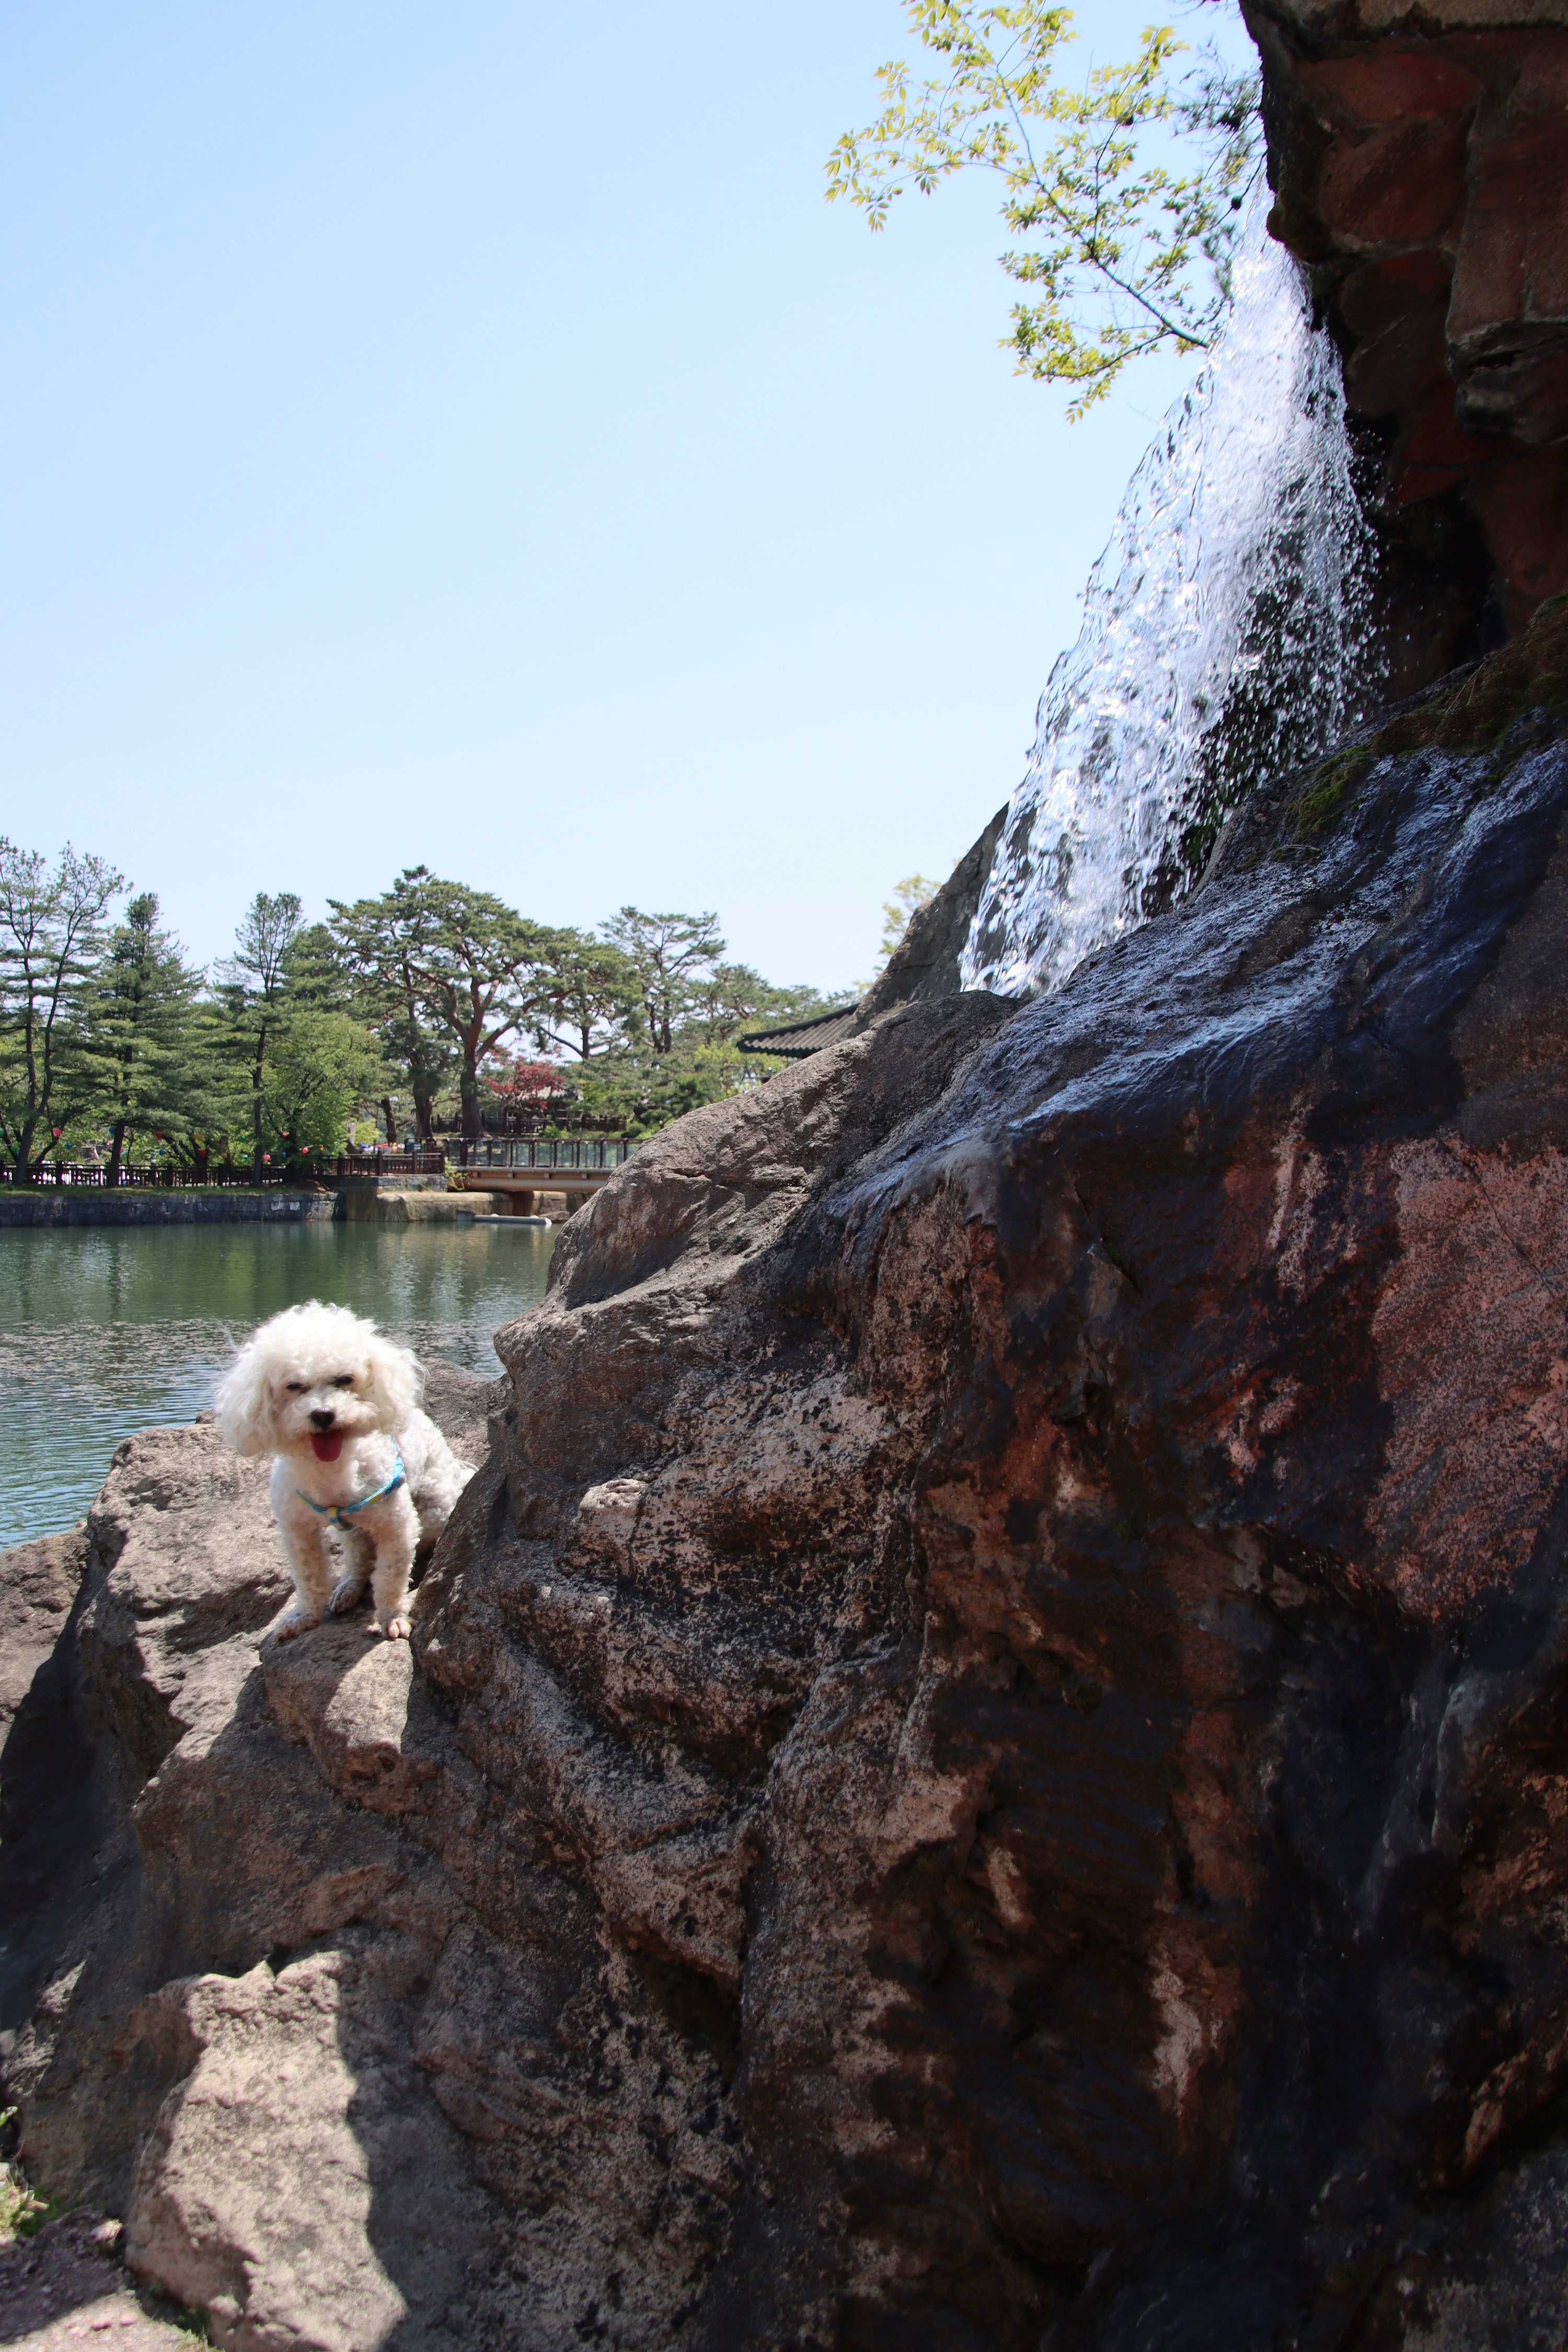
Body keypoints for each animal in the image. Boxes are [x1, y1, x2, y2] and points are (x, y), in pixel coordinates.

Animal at [215, 1300, 476, 1642]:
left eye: (344, 1379)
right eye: (294, 1386)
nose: (323, 1414)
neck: (333, 1471)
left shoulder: (398, 1526)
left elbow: (390, 1577)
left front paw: (393, 1617)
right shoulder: (298, 1531)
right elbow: (309, 1576)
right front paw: (303, 1616)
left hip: (434, 1510)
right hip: (351, 1528)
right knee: (358, 1557)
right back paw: (348, 1588)